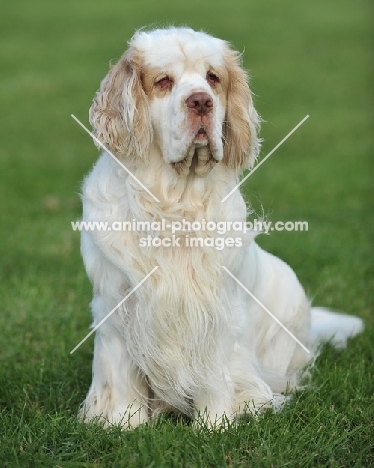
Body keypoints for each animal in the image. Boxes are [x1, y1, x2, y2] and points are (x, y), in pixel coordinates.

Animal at [77, 25, 364, 428]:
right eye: (163, 81)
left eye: (213, 78)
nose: (201, 101)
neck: (175, 203)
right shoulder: (116, 302)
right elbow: (119, 374)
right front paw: (123, 425)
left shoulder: (217, 307)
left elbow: (215, 372)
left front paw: (214, 426)